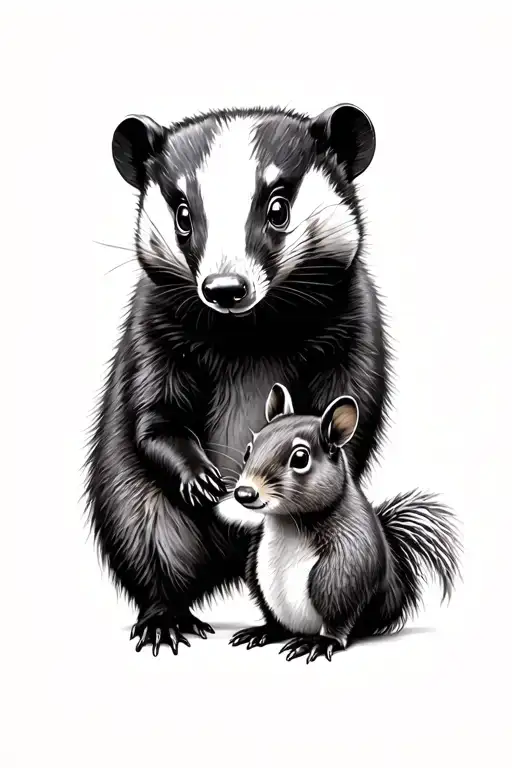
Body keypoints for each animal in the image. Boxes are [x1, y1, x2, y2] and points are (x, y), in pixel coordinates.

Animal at [216, 384, 461, 663]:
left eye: (300, 458)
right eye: (248, 449)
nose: (244, 493)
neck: (290, 521)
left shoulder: (350, 555)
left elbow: (340, 603)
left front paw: (325, 642)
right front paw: (262, 631)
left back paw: (312, 640)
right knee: (277, 620)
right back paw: (266, 631)